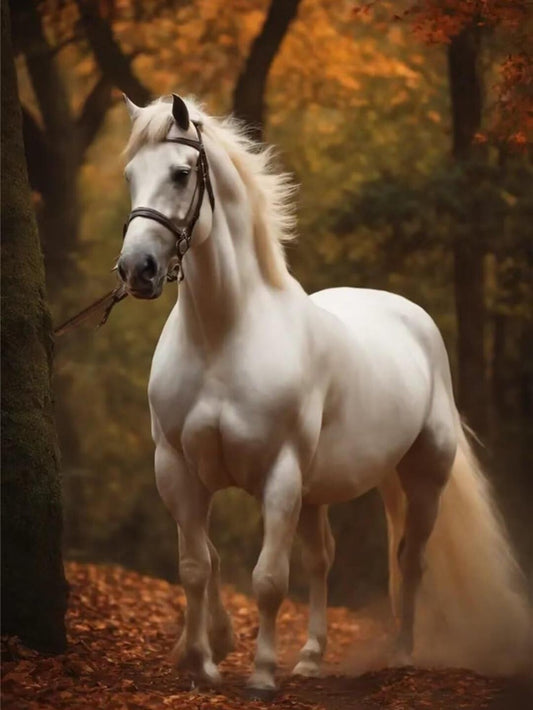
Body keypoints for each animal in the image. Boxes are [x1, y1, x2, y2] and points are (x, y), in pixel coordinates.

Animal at [117, 93, 529, 694]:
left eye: (181, 173)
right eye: (130, 176)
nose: (137, 270)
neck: (224, 335)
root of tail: (414, 319)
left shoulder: (279, 473)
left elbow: (268, 579)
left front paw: (262, 675)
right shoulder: (178, 469)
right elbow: (198, 565)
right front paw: (202, 659)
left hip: (420, 479)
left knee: (410, 560)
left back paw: (401, 654)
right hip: (314, 493)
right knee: (321, 559)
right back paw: (311, 657)